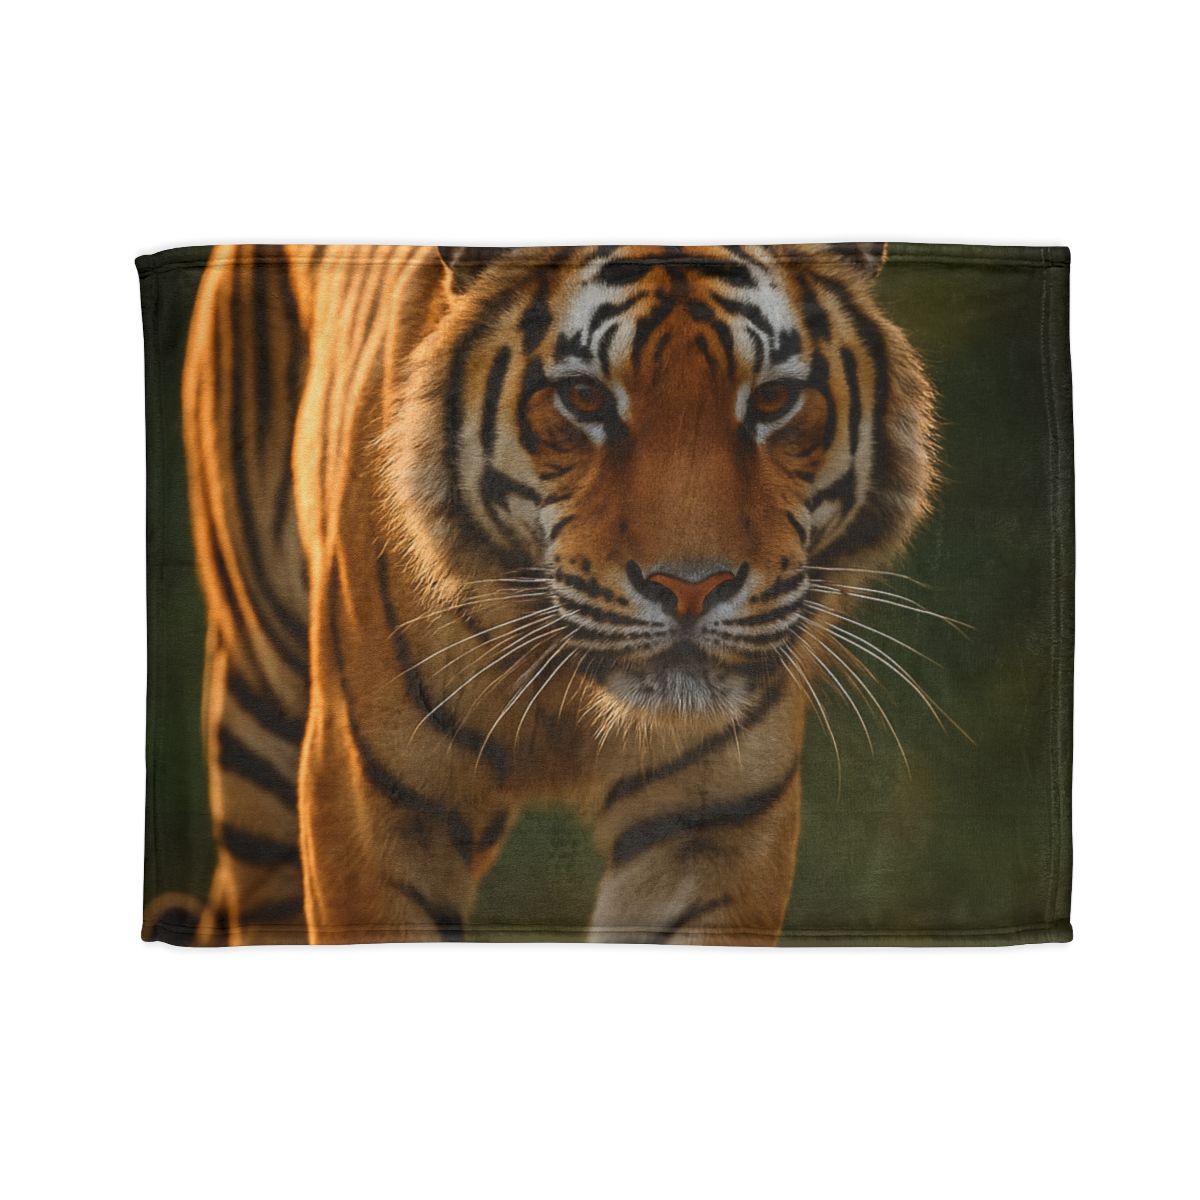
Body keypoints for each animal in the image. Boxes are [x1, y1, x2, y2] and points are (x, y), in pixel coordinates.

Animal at [161, 243, 937, 946]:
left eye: (773, 399)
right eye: (583, 397)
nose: (691, 589)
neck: (573, 699)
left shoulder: (712, 820)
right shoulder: (372, 801)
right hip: (260, 720)